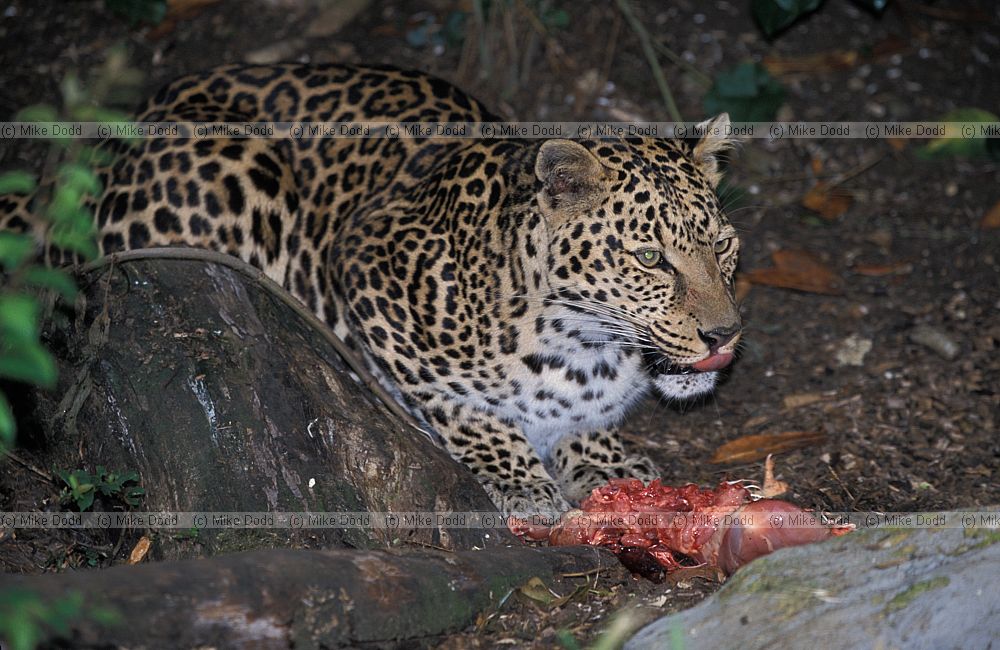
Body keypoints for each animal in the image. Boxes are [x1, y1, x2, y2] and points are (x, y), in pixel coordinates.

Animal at [0, 63, 742, 517]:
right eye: (650, 257)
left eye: (723, 245)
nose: (725, 334)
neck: (582, 346)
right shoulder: (359, 269)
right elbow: (460, 405)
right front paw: (519, 478)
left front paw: (606, 464)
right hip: (235, 169)